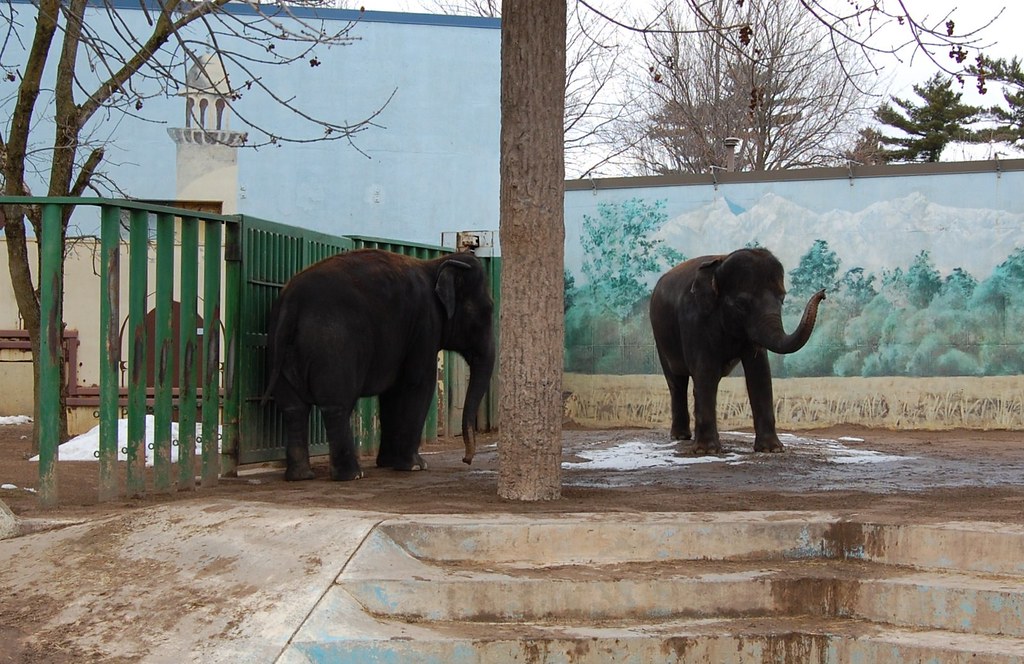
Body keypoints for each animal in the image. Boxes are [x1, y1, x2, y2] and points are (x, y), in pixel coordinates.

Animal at [263, 248, 495, 481]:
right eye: (488, 310)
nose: (466, 460)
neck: (435, 264)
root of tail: (291, 304)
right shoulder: (425, 323)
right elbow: (418, 384)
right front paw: (416, 466)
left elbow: (391, 393)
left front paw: (388, 463)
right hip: (333, 347)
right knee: (336, 406)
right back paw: (352, 475)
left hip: (279, 347)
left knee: (293, 408)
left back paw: (301, 476)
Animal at [649, 247, 825, 454]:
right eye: (741, 304)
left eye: (782, 300)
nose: (823, 293)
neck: (719, 266)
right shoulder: (693, 319)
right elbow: (705, 371)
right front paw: (707, 451)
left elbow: (760, 373)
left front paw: (772, 449)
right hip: (660, 338)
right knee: (676, 381)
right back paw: (680, 437)